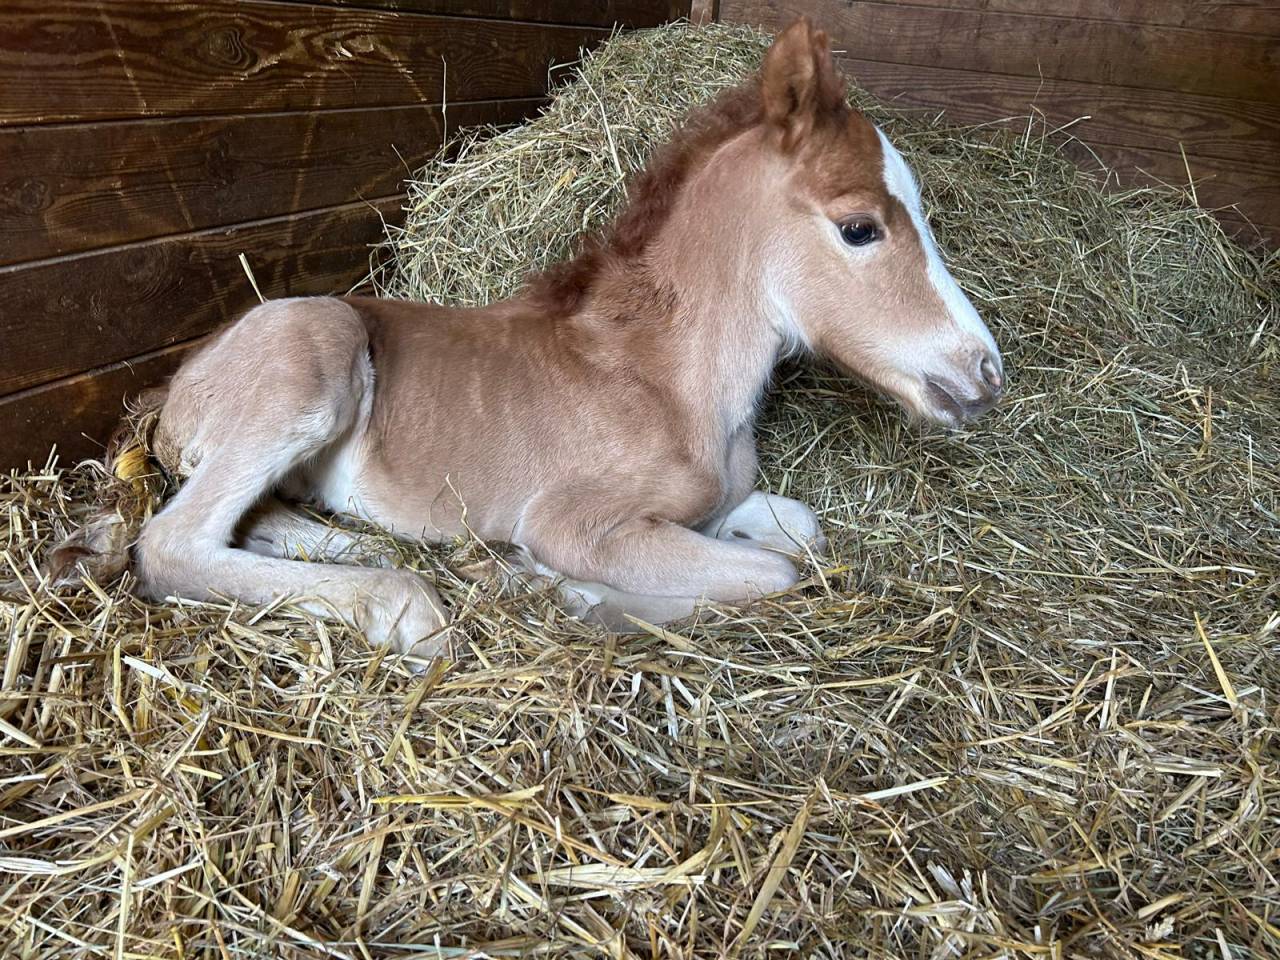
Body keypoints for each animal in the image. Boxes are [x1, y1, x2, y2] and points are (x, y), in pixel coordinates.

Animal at [128, 18, 1003, 659]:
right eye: (859, 227)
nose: (986, 372)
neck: (668, 383)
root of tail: (178, 387)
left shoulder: (715, 504)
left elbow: (796, 531)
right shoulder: (575, 523)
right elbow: (777, 572)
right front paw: (568, 590)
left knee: (255, 518)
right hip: (315, 356)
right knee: (171, 542)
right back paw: (403, 601)